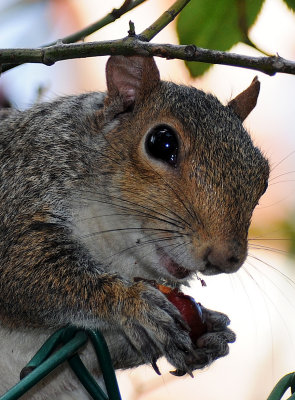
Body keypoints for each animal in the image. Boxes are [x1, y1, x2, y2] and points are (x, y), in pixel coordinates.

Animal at [0, 57, 270, 400]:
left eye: (262, 178)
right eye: (162, 143)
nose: (226, 258)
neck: (114, 248)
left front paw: (213, 332)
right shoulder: (18, 192)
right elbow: (21, 271)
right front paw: (130, 301)